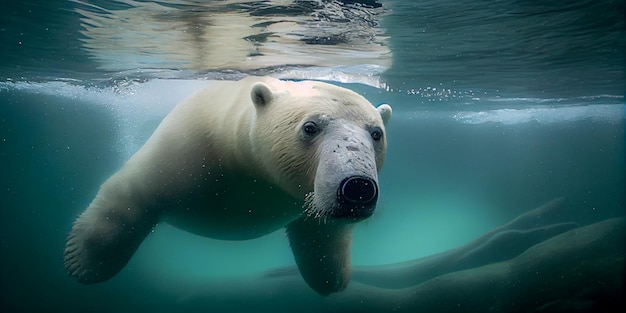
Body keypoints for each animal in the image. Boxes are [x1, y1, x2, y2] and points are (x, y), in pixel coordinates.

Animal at [67, 76, 390, 294]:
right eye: (310, 127)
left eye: (376, 133)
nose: (357, 187)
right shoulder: (185, 151)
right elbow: (132, 192)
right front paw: (83, 264)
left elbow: (320, 231)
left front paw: (331, 278)